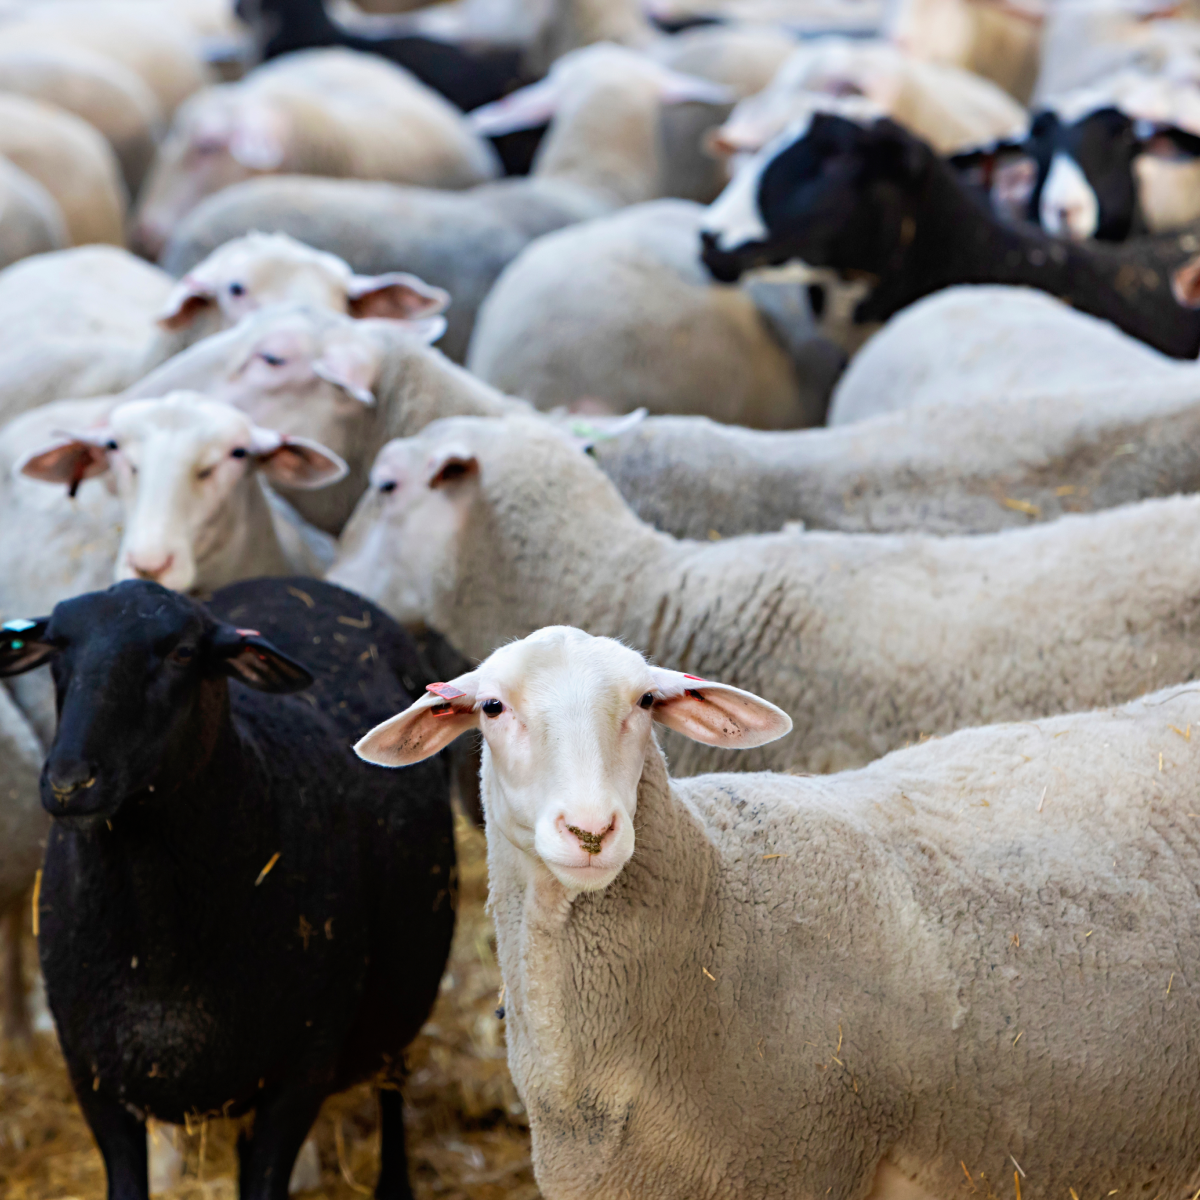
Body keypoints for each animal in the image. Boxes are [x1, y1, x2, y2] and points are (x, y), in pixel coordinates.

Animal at [0, 576, 456, 1200]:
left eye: (182, 653)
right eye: (58, 649)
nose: (70, 783)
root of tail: (297, 582)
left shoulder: (301, 1071)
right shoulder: (95, 1079)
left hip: (401, 987)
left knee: (392, 1082)